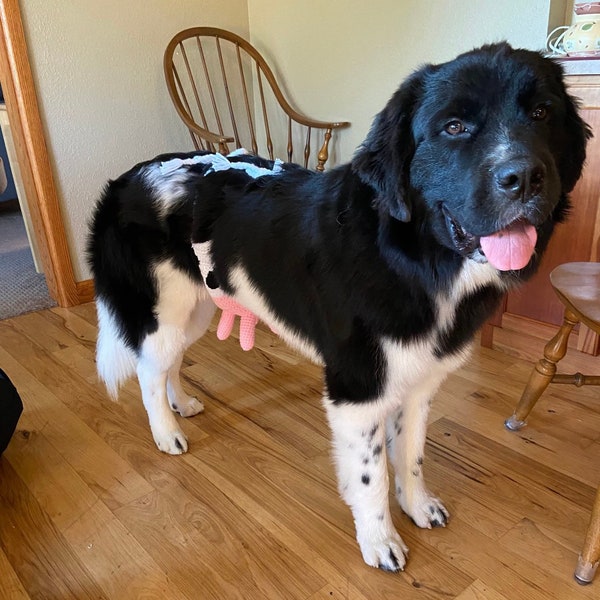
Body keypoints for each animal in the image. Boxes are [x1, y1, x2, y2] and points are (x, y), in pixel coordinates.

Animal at [89, 43, 592, 572]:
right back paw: (166, 434)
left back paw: (181, 403)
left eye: (541, 114)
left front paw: (417, 506)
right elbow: (372, 477)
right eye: (454, 127)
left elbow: (410, 455)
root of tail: (126, 178)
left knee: (169, 365)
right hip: (163, 312)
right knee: (149, 371)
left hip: (197, 309)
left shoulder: (419, 383)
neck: (414, 260)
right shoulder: (358, 391)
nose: (525, 177)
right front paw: (380, 542)